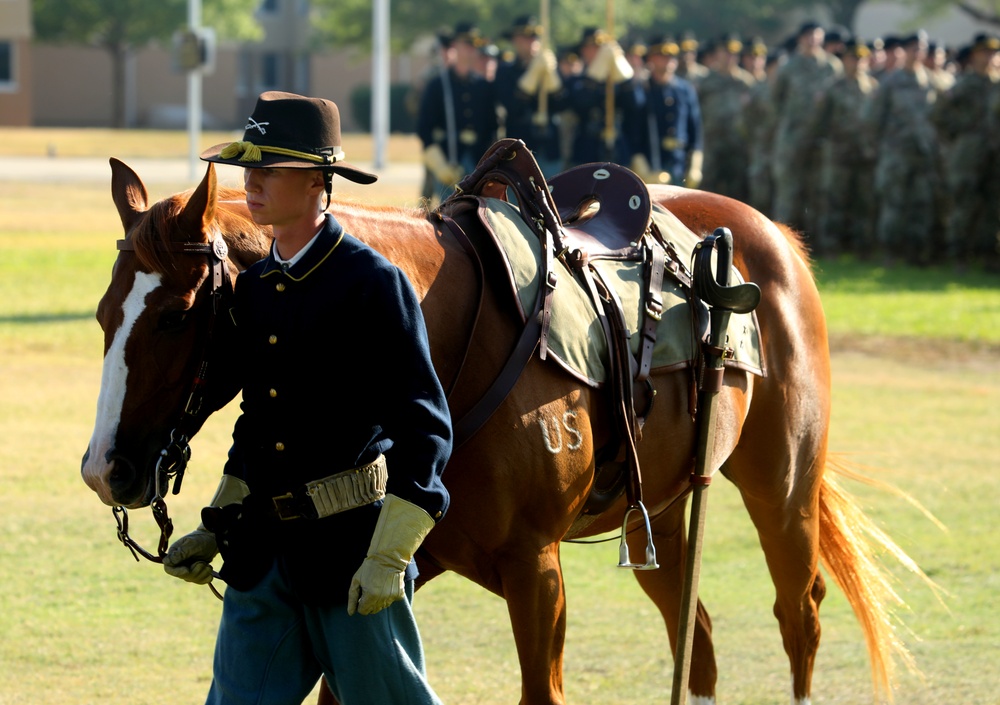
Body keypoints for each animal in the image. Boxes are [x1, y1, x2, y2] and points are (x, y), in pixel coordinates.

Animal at [84, 160, 916, 704]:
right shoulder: (398, 559)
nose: (106, 469)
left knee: (799, 615)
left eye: (173, 316)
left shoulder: (534, 567)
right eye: (102, 313)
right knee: (698, 636)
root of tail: (772, 234)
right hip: (659, 511)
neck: (442, 333)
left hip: (781, 485)